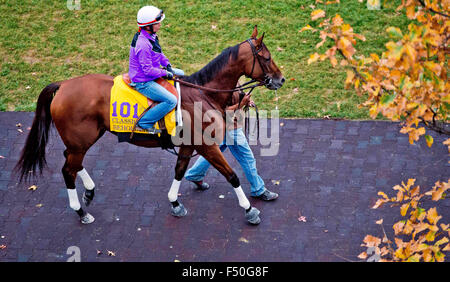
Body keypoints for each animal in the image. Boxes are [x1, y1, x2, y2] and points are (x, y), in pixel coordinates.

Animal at [17, 26, 284, 225]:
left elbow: (179, 171)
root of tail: (62, 84)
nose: (280, 79)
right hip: (80, 141)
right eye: (267, 57)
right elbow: (232, 176)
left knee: (71, 161)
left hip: (82, 141)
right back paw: (81, 212)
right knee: (67, 170)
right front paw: (249, 209)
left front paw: (175, 203)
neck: (202, 93)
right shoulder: (207, 146)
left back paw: (90, 191)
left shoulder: (188, 145)